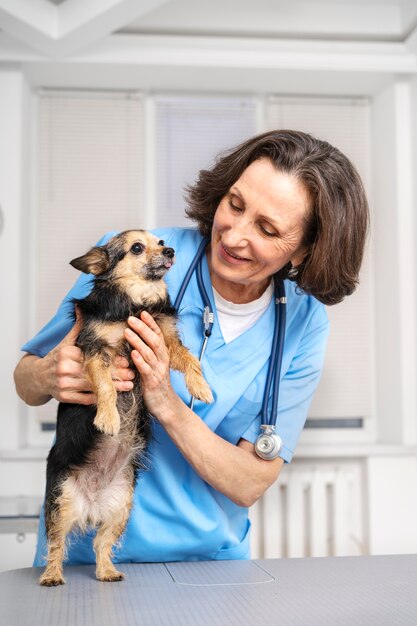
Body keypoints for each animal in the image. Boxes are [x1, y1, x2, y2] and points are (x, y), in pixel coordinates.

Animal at [39, 229, 211, 584]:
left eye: (161, 242)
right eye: (136, 248)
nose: (171, 251)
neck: (136, 302)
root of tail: (91, 505)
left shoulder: (165, 341)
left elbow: (190, 359)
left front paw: (201, 386)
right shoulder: (96, 350)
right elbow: (105, 385)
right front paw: (108, 418)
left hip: (121, 506)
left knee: (101, 543)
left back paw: (107, 572)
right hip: (61, 500)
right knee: (56, 543)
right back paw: (51, 575)